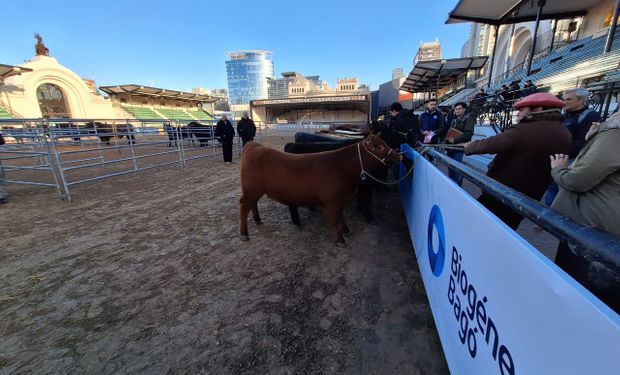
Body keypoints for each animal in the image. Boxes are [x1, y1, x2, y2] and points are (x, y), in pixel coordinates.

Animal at [237, 134, 402, 247]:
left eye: (386, 143)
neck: (342, 168)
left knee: (252, 204)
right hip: (251, 189)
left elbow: (341, 216)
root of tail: (254, 145)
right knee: (244, 207)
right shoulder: (331, 201)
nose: (400, 156)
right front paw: (340, 239)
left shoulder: (340, 199)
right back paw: (244, 234)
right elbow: (334, 219)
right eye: (379, 147)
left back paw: (258, 220)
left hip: (255, 191)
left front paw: (346, 230)